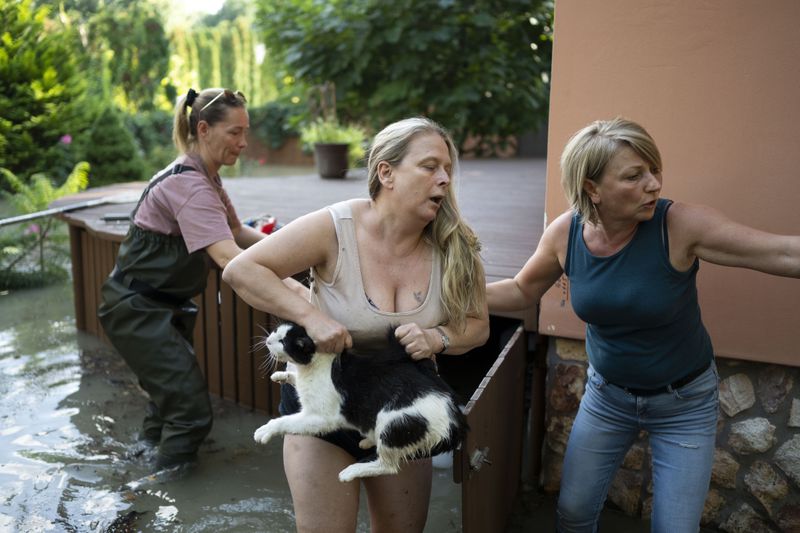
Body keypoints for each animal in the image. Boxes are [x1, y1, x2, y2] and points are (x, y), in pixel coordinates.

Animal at [253, 320, 468, 482]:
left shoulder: (320, 417)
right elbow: (294, 378)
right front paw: (281, 375)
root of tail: (456, 416)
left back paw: (351, 471)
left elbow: (285, 421)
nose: (268, 340)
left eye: (282, 341)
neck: (316, 364)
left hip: (393, 422)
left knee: (388, 466)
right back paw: (367, 440)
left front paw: (265, 430)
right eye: (275, 332)